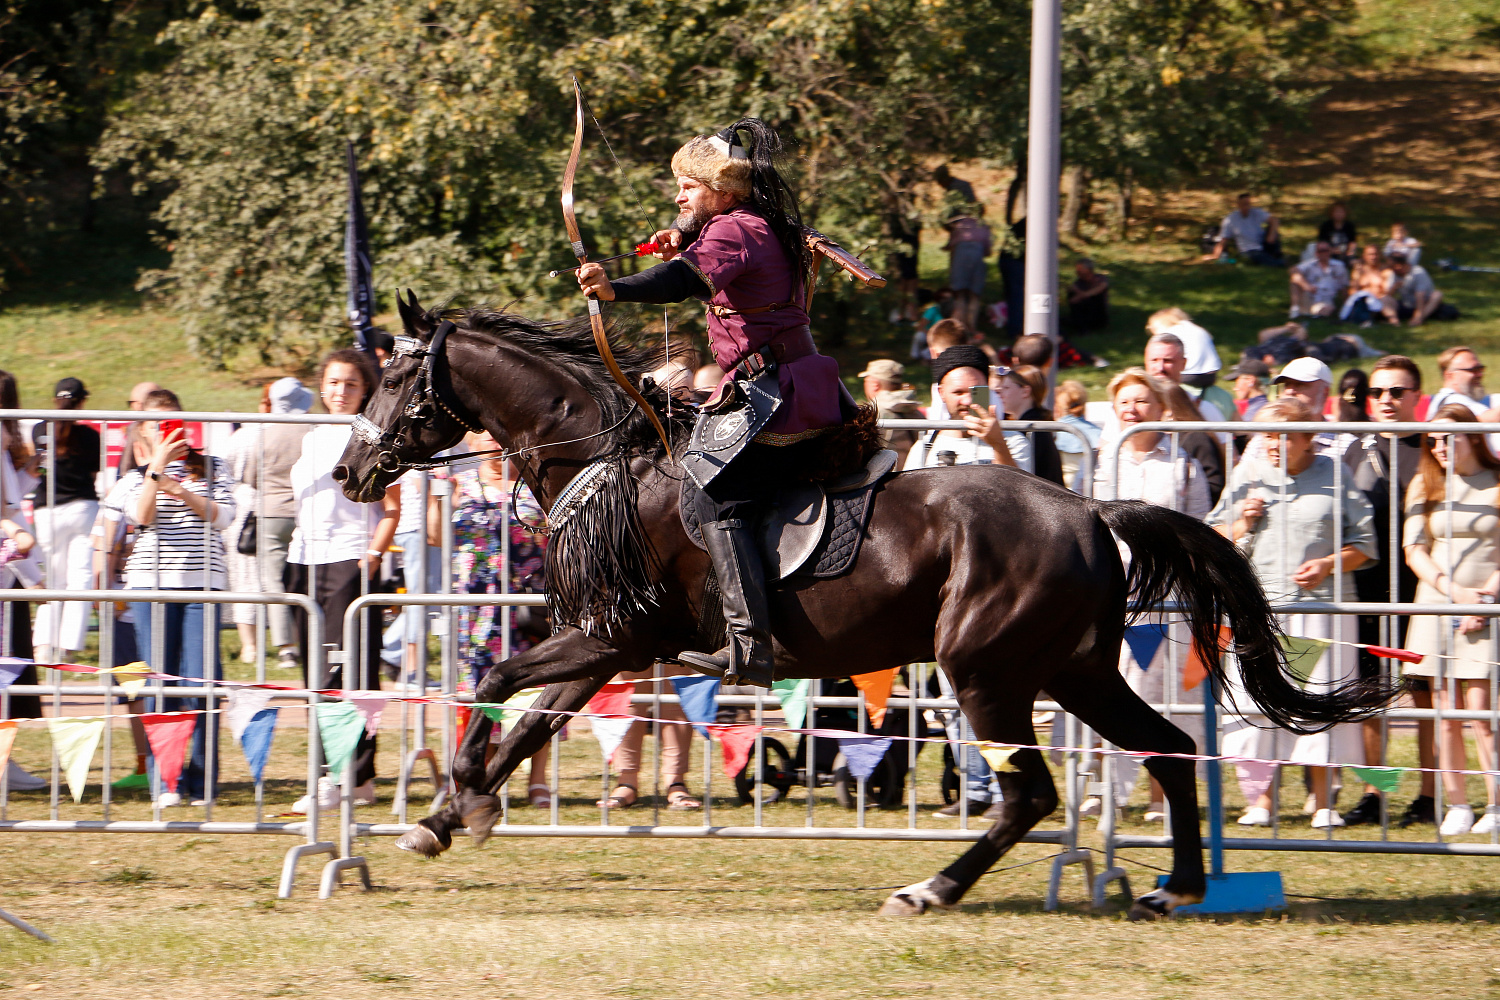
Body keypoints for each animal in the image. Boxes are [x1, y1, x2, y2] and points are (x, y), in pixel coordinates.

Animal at [334, 296, 1386, 923]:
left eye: (399, 381)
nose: (348, 472)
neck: (604, 455)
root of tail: (1091, 509)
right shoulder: (609, 642)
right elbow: (534, 720)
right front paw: (450, 813)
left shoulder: (615, 633)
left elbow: (499, 677)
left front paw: (458, 796)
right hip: (1073, 669)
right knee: (1165, 750)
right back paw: (1180, 886)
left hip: (987, 672)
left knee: (1031, 793)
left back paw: (932, 888)